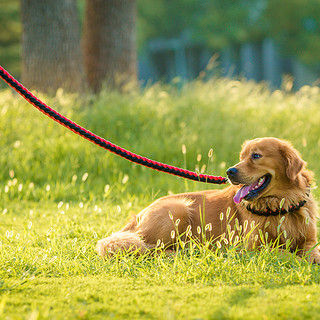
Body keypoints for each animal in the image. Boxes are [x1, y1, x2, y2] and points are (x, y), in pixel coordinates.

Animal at [97, 138, 320, 262]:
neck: (283, 203)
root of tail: (138, 215)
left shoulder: (310, 241)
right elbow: (286, 253)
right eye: (242, 157)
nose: (230, 172)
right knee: (152, 250)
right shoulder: (255, 248)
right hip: (177, 210)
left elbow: (312, 252)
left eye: (256, 156)